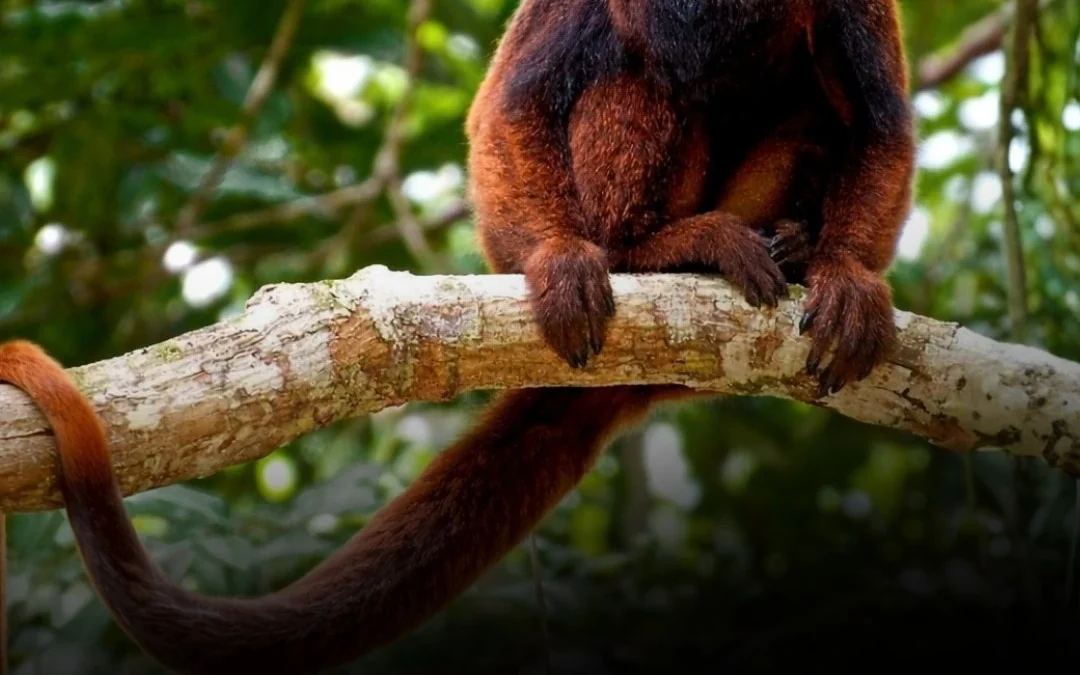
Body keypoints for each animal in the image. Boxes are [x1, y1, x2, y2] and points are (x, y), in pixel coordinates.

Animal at [0, 1, 914, 673]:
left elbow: (880, 126)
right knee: (623, 60)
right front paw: (558, 262)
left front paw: (848, 279)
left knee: (814, 93)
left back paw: (786, 246)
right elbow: (511, 103)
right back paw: (651, 249)